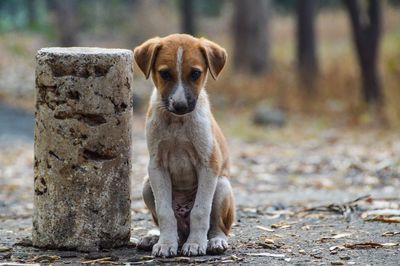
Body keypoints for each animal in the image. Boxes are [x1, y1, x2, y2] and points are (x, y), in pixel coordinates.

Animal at [134, 34, 234, 256]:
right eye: (164, 74)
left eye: (195, 73)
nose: (180, 106)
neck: (177, 123)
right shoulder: (156, 166)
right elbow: (165, 212)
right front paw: (165, 244)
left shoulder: (208, 164)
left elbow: (201, 211)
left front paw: (196, 244)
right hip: (146, 185)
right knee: (177, 228)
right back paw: (155, 238)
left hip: (222, 186)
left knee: (218, 226)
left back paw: (214, 241)